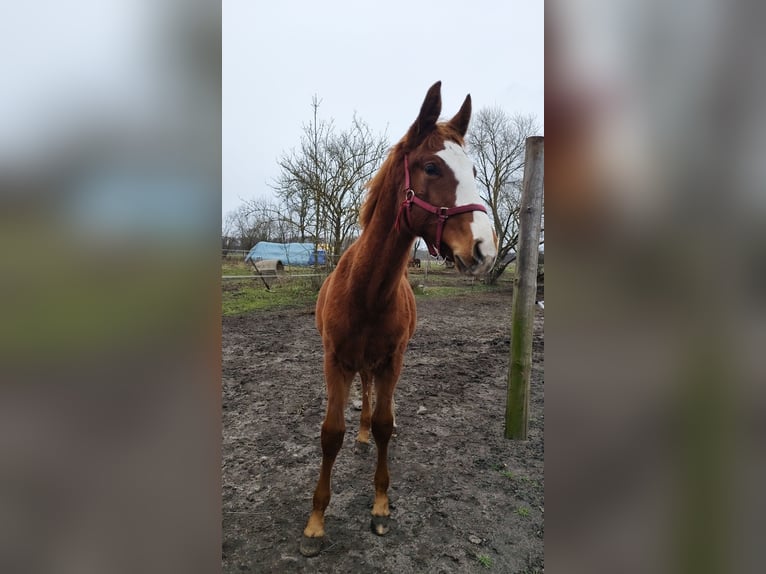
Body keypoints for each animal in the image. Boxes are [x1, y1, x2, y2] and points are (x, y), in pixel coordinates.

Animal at [299, 81, 498, 557]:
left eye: (473, 169)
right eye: (431, 166)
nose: (486, 249)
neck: (367, 292)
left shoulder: (393, 361)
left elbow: (386, 425)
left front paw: (380, 507)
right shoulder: (335, 361)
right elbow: (330, 433)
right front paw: (315, 523)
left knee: (371, 397)